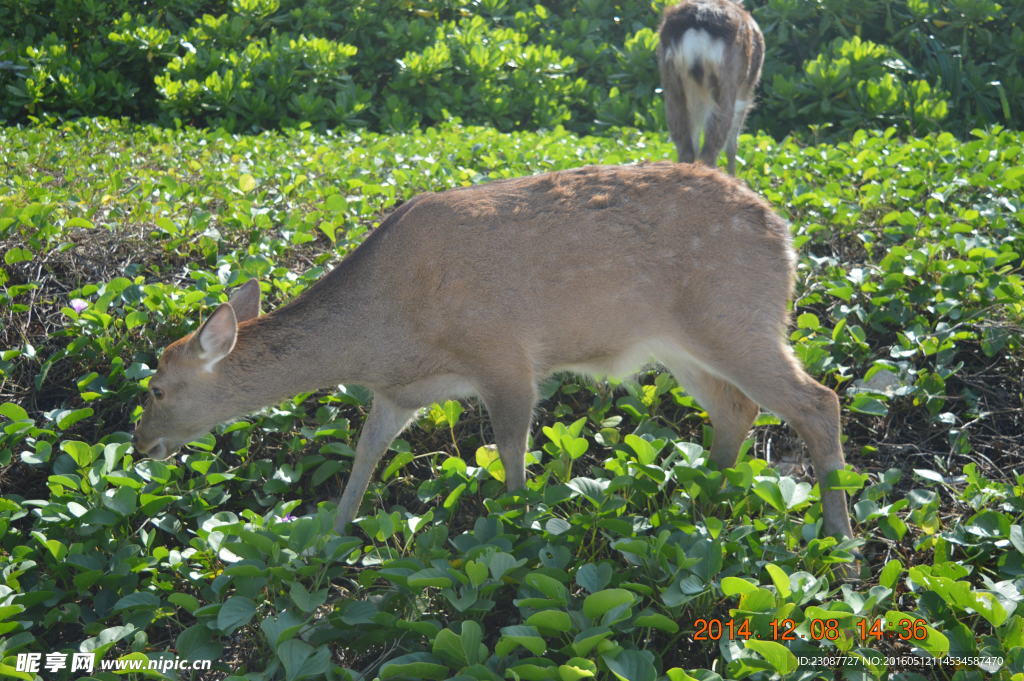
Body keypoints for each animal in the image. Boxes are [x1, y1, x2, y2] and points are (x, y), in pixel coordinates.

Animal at [136, 161, 856, 544]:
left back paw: (840, 540)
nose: (139, 443)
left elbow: (512, 452)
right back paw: (702, 499)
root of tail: (786, 233)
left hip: (738, 317)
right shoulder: (399, 393)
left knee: (819, 400)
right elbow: (366, 453)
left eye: (158, 386)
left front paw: (518, 531)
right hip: (679, 341)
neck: (384, 338)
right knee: (737, 408)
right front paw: (332, 533)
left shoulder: (505, 356)